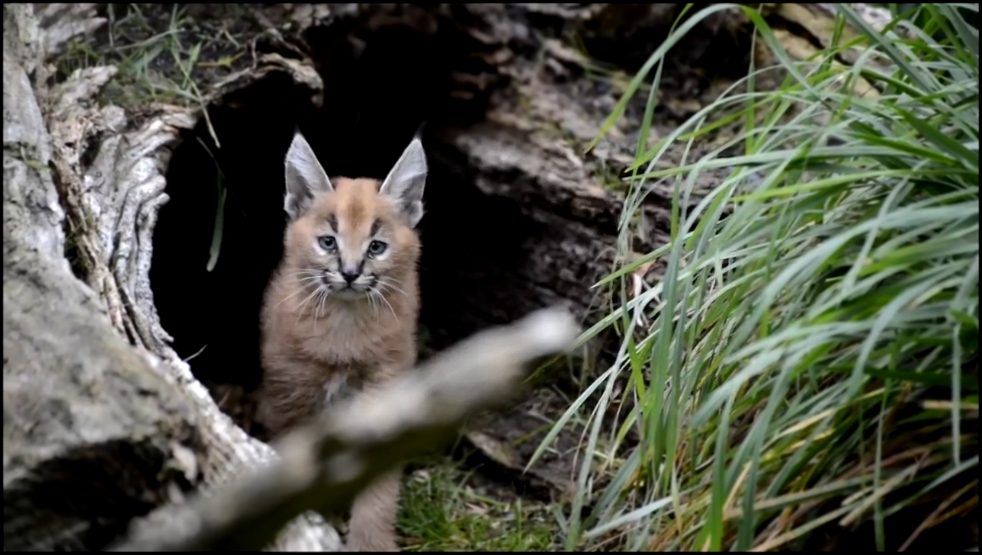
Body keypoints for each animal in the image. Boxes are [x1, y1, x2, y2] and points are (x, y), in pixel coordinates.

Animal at [256, 130, 424, 552]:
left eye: (376, 247)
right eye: (328, 242)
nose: (349, 272)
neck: (346, 324)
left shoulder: (385, 389)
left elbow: (379, 487)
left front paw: (371, 542)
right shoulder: (290, 395)